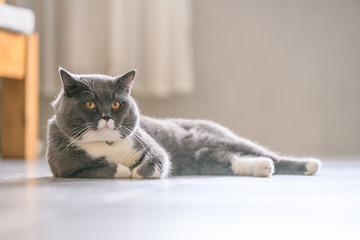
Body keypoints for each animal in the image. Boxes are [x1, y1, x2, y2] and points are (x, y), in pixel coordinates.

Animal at [47, 67, 320, 178]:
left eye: (116, 104)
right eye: (90, 105)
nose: (106, 116)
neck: (106, 143)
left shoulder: (150, 146)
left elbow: (156, 161)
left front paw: (137, 172)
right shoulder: (65, 168)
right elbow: (104, 167)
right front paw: (125, 170)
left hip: (225, 138)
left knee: (269, 155)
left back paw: (310, 165)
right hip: (205, 159)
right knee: (230, 160)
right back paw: (262, 167)